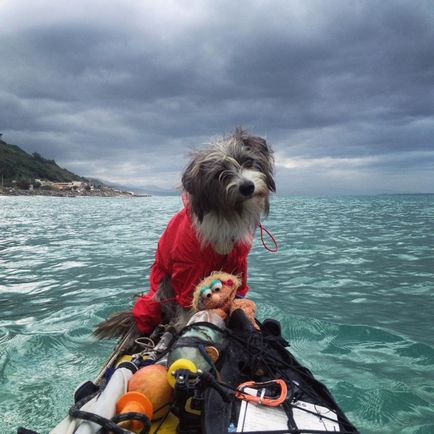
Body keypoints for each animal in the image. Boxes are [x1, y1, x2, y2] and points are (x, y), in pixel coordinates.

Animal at [95, 129, 274, 340]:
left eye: (247, 161)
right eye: (220, 174)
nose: (247, 187)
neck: (226, 213)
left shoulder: (238, 264)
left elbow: (236, 293)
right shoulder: (188, 270)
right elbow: (188, 303)